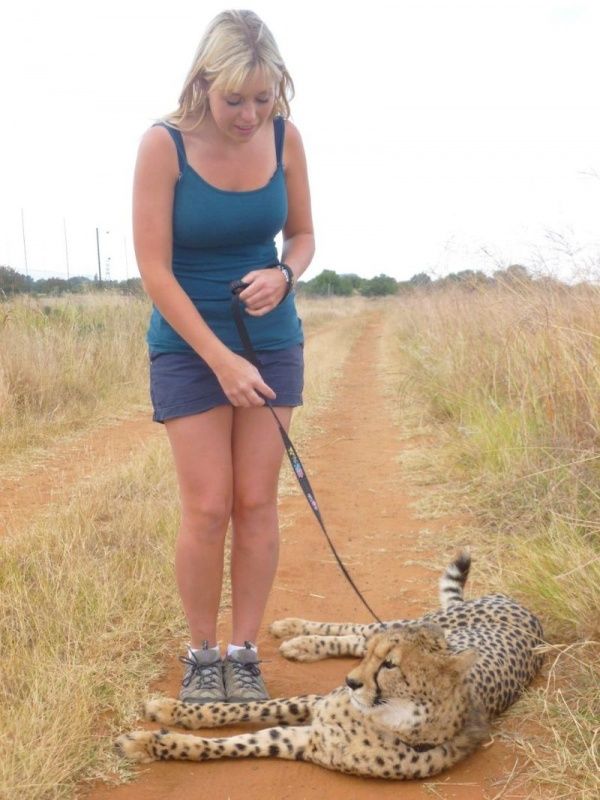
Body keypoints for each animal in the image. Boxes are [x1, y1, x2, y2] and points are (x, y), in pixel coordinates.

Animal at [116, 552, 544, 780]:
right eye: (375, 659)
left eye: (390, 665)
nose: (351, 681)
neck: (387, 718)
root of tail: (524, 609)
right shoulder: (314, 703)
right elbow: (243, 709)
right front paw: (171, 711)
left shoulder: (305, 742)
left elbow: (229, 744)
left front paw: (151, 742)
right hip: (401, 622)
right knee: (358, 631)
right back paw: (295, 633)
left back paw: (299, 641)